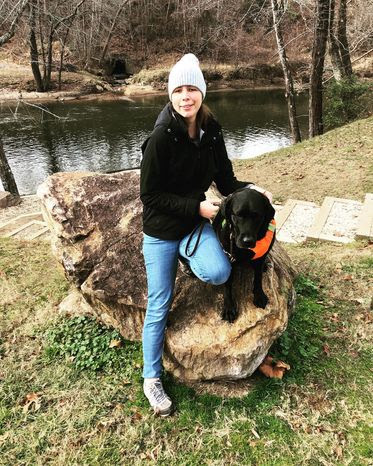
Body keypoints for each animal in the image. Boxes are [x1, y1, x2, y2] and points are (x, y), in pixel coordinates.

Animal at [212, 187, 276, 322]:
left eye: (257, 216)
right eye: (238, 215)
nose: (247, 241)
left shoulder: (259, 259)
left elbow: (258, 278)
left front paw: (259, 295)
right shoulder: (228, 259)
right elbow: (227, 286)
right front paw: (229, 308)